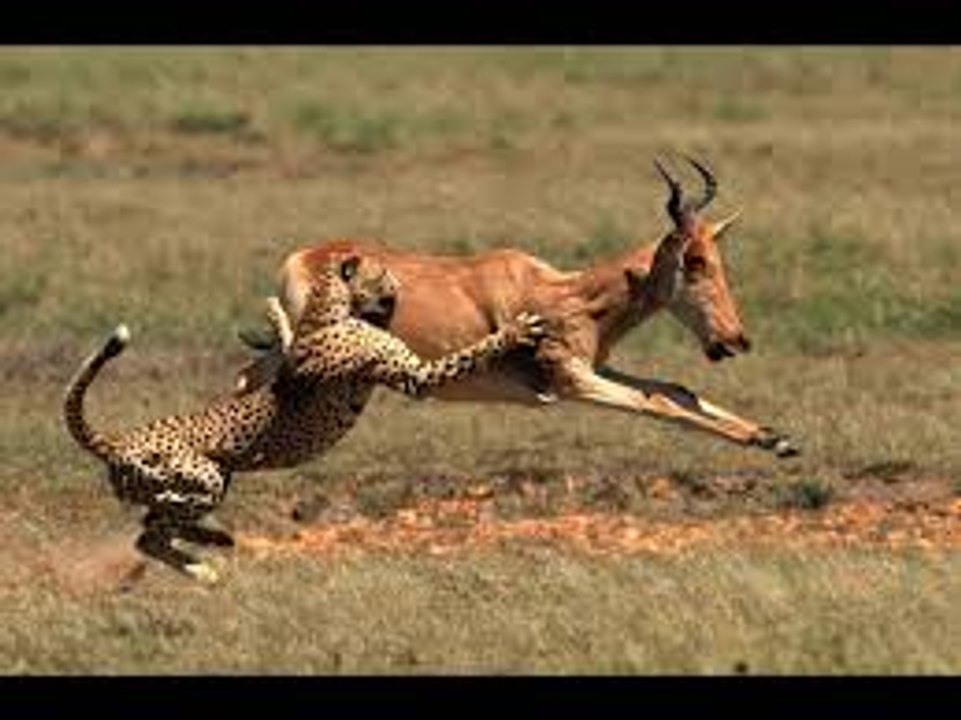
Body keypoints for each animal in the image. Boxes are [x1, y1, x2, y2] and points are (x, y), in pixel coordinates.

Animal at [237, 157, 799, 458]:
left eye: (718, 258)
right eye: (694, 261)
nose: (736, 339)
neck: (567, 293)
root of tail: (301, 258)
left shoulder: (595, 366)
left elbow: (677, 389)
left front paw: (774, 438)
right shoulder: (568, 382)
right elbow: (654, 402)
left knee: (247, 377)